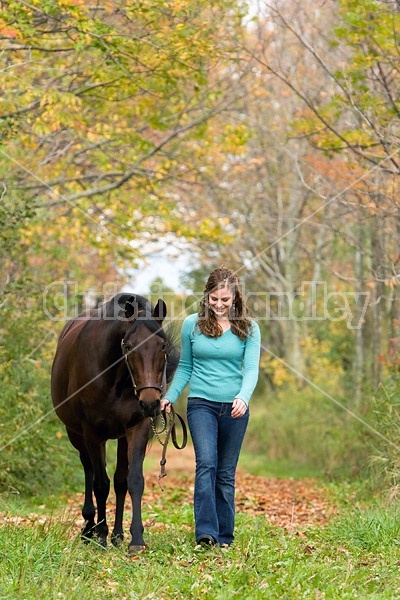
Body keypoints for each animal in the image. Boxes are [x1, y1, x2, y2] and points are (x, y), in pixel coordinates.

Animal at [50, 292, 179, 552]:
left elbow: (133, 481)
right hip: (76, 434)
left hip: (120, 437)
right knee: (89, 470)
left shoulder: (137, 428)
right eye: (128, 346)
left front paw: (136, 539)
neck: (115, 377)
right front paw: (101, 535)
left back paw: (118, 535)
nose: (150, 403)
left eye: (162, 345)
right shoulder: (92, 433)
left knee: (120, 481)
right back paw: (89, 528)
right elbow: (100, 484)